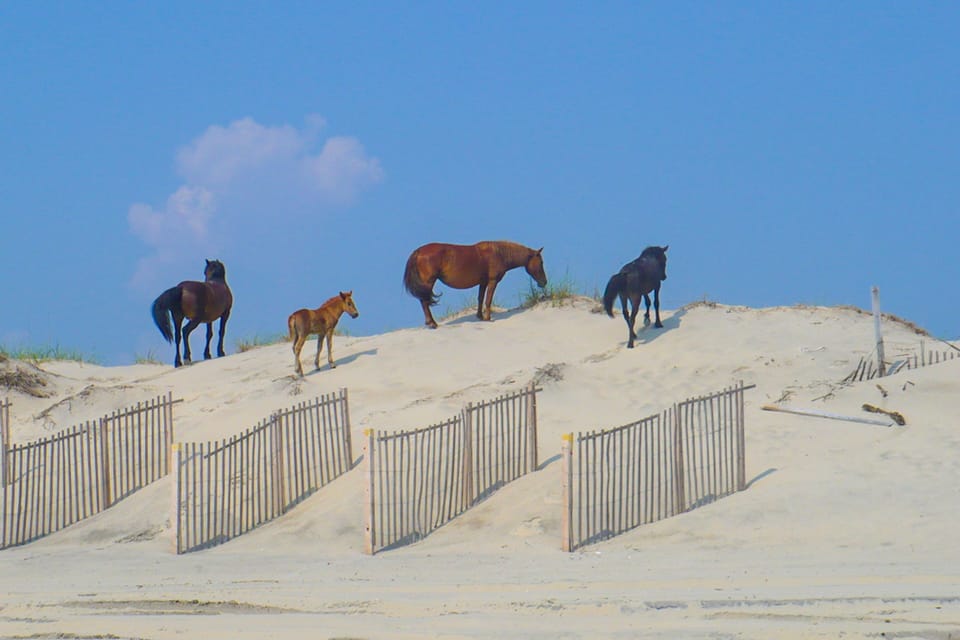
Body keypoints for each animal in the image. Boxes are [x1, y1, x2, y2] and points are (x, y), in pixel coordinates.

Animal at [403, 241, 547, 328]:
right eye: (541, 262)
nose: (544, 282)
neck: (499, 254)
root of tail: (418, 251)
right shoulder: (492, 281)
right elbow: (488, 300)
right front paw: (488, 318)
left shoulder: (483, 282)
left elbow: (480, 299)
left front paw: (480, 317)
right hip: (428, 282)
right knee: (424, 301)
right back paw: (432, 323)